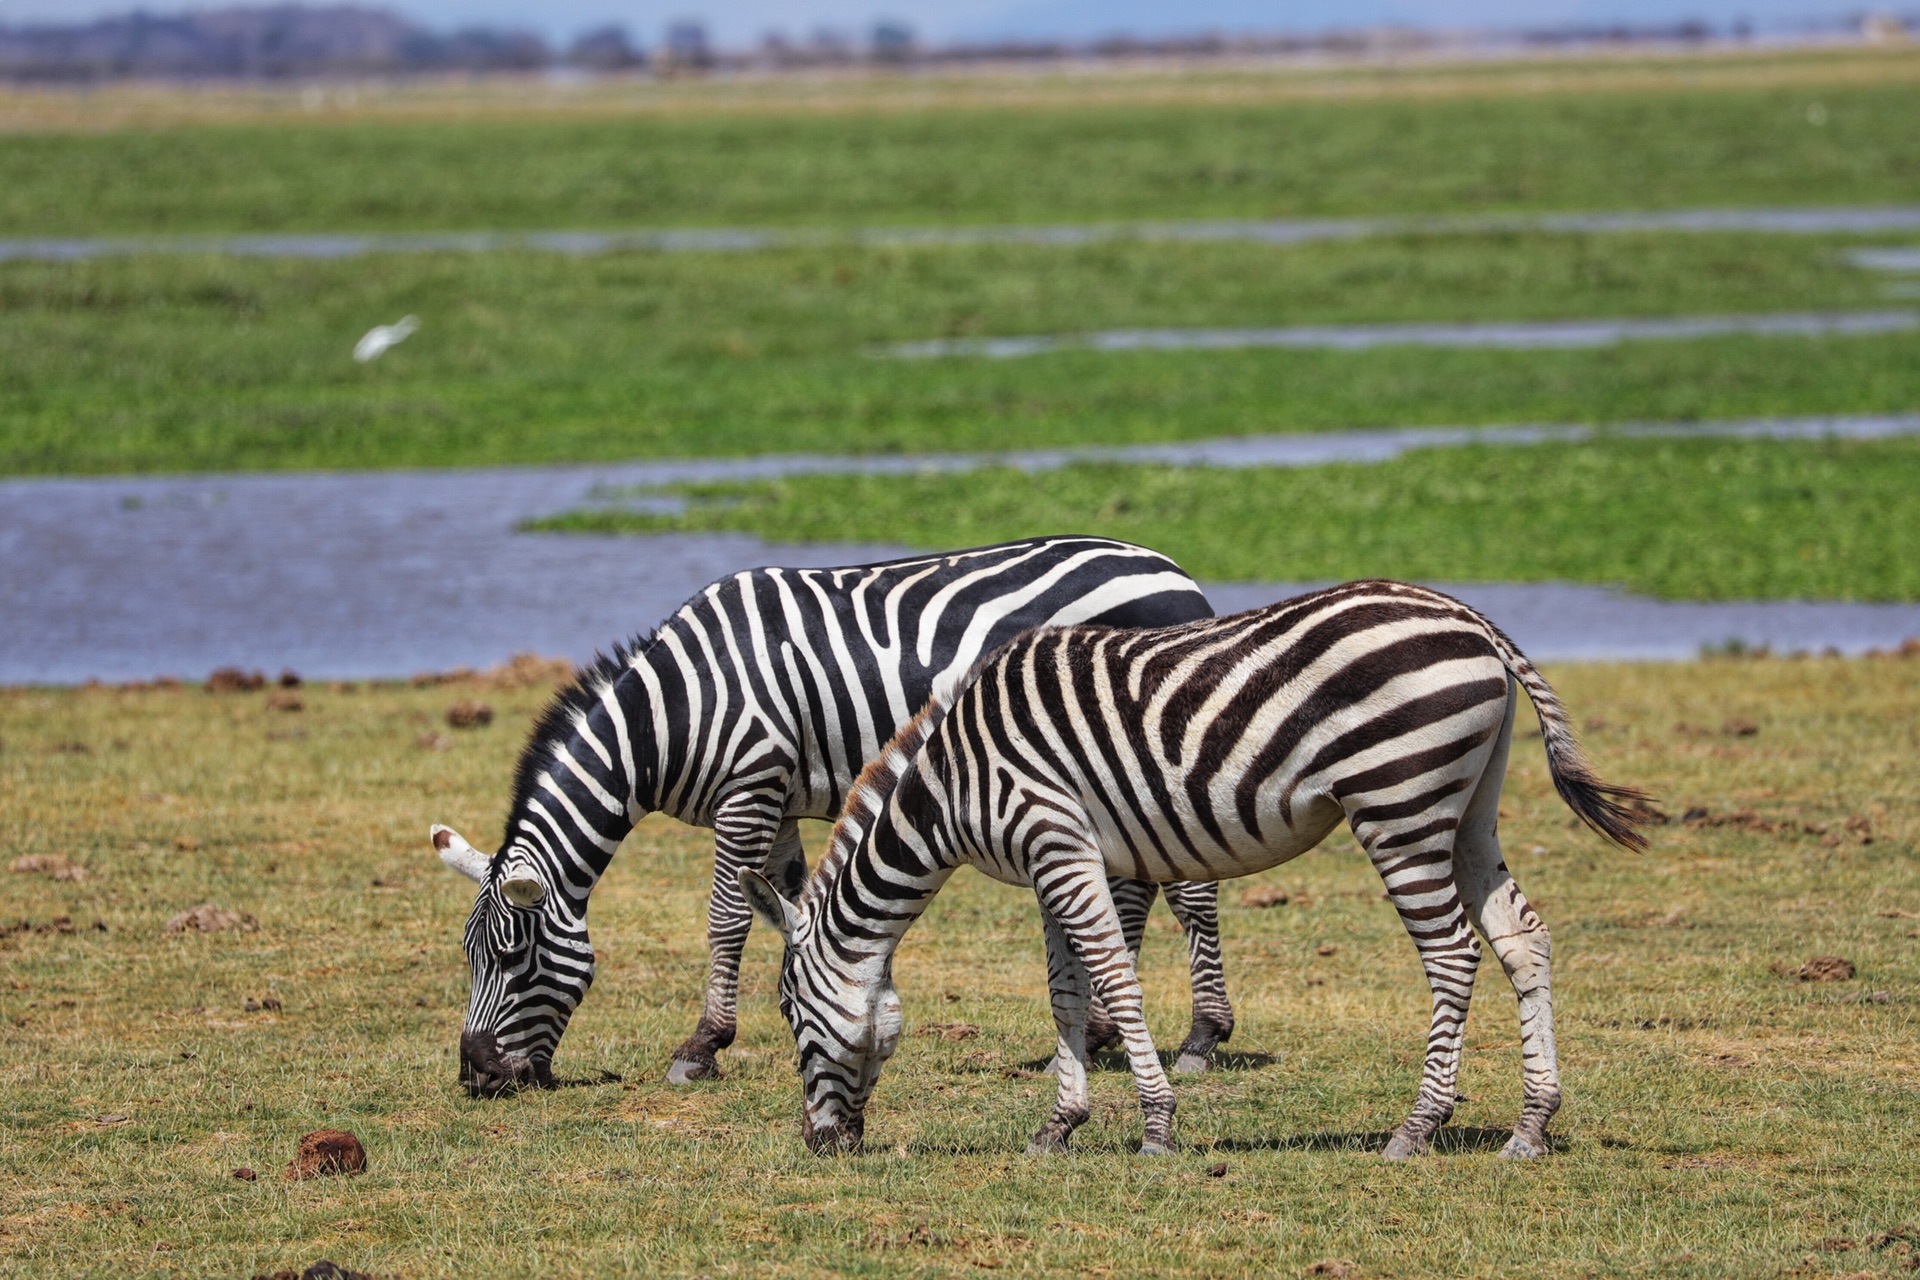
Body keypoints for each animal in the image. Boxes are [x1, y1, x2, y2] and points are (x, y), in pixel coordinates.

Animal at [428, 537, 1236, 1097]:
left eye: (510, 958)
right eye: (468, 957)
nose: (475, 1077)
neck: (672, 712)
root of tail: (1175, 571)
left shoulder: (749, 785)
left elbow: (726, 918)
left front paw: (701, 1048)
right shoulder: (777, 803)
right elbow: (787, 906)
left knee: (1191, 891)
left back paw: (1202, 1038)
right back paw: (1101, 1030)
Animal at [733, 579, 1651, 1159]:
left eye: (787, 1016)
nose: (820, 1146)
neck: (953, 782)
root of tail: (1471, 618)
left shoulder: (1055, 839)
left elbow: (1114, 977)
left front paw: (1156, 1126)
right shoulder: (1051, 859)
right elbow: (1066, 992)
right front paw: (1059, 1126)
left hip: (1401, 803)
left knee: (1453, 955)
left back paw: (1417, 1128)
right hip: (1470, 808)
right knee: (1522, 938)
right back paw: (1530, 1128)